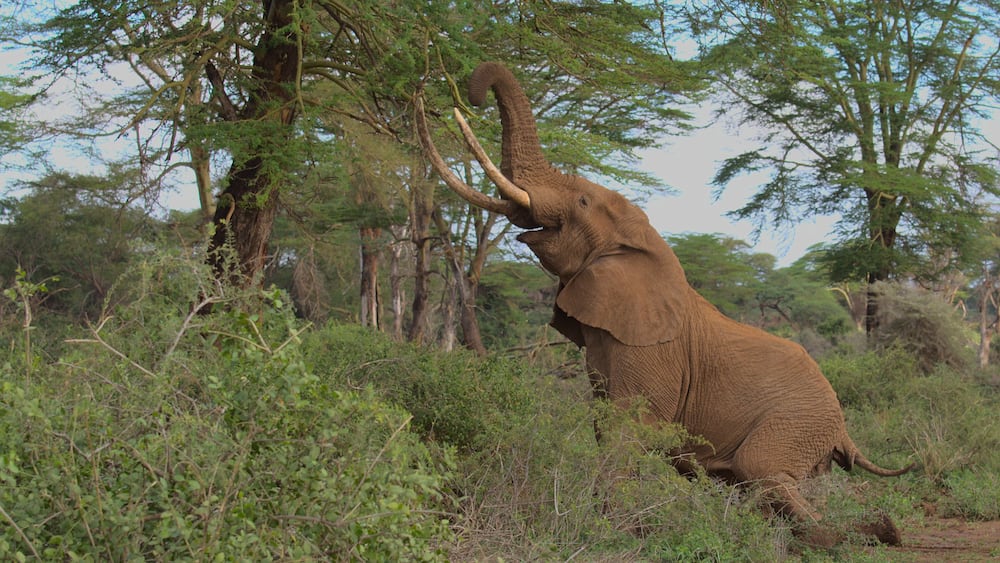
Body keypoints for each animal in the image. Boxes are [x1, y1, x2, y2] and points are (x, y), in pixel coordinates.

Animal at [415, 62, 913, 545]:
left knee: (761, 470)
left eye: (582, 200)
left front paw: (613, 534)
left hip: (797, 421)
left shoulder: (653, 352)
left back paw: (865, 533)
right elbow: (604, 429)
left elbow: (627, 430)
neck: (644, 244)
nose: (471, 93)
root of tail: (843, 425)